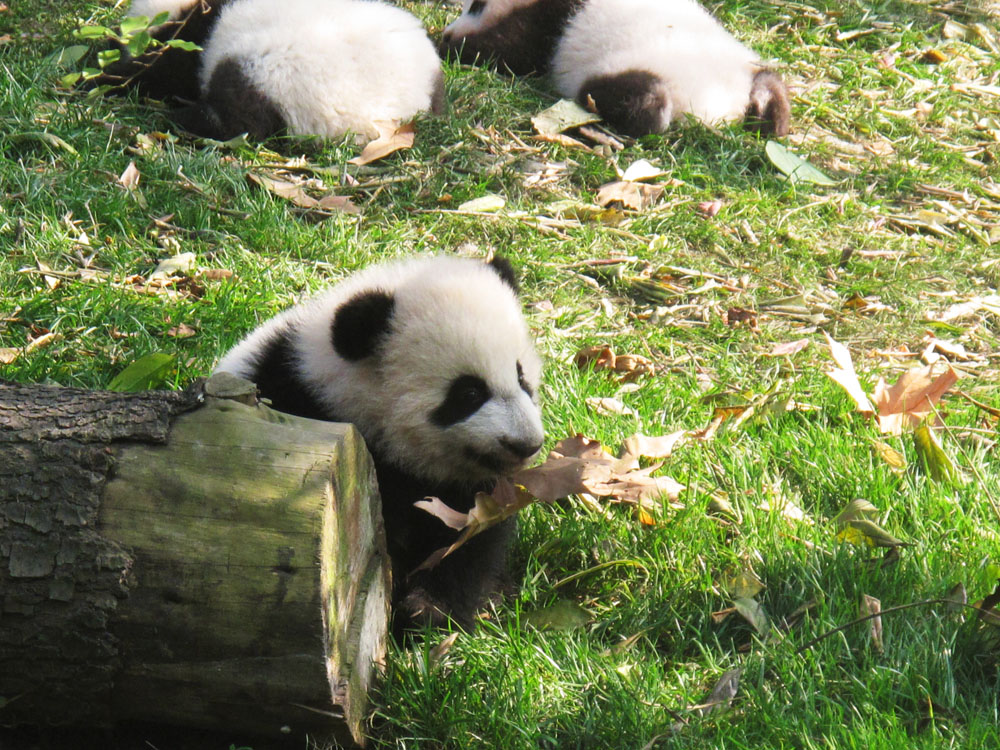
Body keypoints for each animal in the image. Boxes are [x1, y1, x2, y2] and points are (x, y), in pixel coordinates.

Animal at [442, 0, 792, 138]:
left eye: (476, 5)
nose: (448, 32)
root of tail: (720, 108)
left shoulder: (549, 23)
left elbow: (514, 50)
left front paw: (451, 46)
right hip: (743, 66)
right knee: (770, 83)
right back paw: (771, 118)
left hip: (622, 71)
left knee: (640, 98)